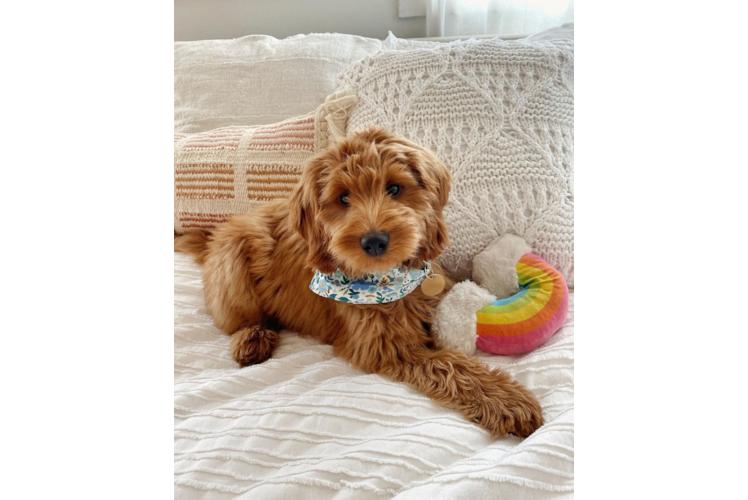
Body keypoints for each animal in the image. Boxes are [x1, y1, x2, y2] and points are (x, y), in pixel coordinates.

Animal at [176, 126, 544, 438]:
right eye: (343, 198)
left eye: (394, 188)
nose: (375, 241)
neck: (389, 279)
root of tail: (214, 236)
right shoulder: (389, 348)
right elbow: (453, 367)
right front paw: (510, 401)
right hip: (234, 264)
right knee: (238, 318)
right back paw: (252, 339)